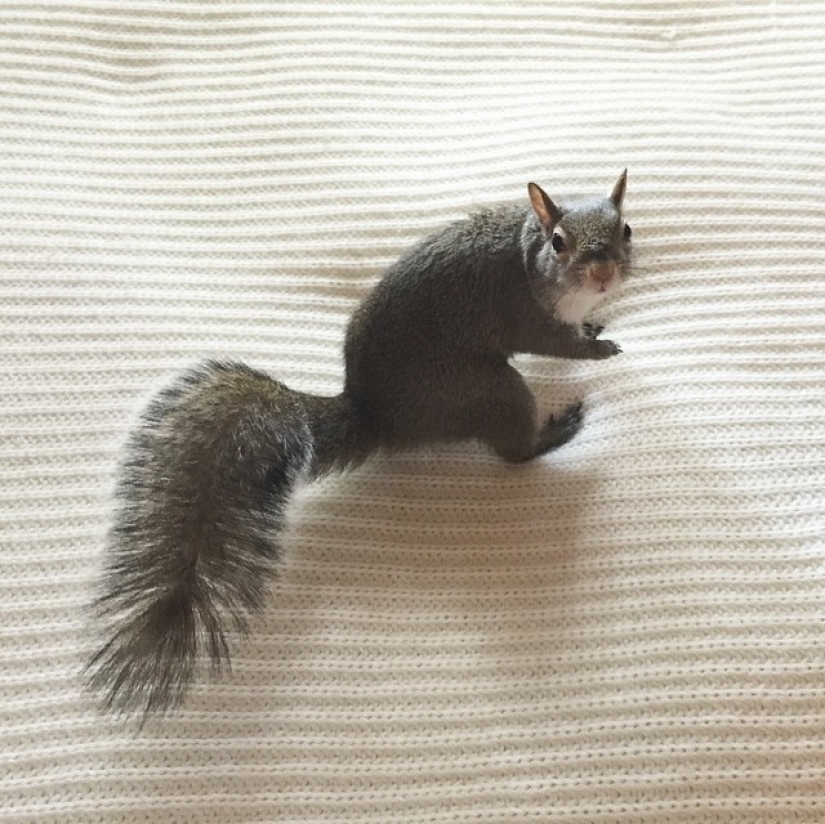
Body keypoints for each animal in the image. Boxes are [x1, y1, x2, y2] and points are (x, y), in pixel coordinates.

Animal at [86, 172, 632, 718]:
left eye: (625, 229)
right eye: (558, 243)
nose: (603, 274)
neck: (529, 249)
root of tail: (379, 416)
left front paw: (593, 325)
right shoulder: (525, 312)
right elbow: (556, 344)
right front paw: (597, 348)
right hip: (487, 391)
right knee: (514, 451)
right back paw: (556, 432)